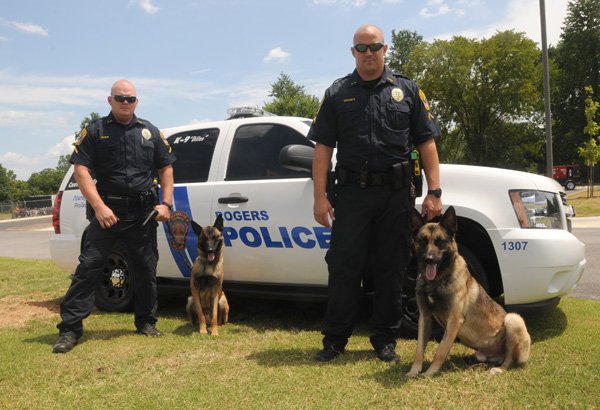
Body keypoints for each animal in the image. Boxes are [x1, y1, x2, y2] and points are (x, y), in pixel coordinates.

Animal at [408, 207, 528, 376]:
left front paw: (429, 373)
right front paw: (414, 371)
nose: (429, 259)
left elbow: (441, 350)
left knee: (508, 358)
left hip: (513, 319)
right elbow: (419, 349)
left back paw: (499, 369)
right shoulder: (424, 317)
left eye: (440, 241)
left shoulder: (453, 320)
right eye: (423, 241)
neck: (438, 279)